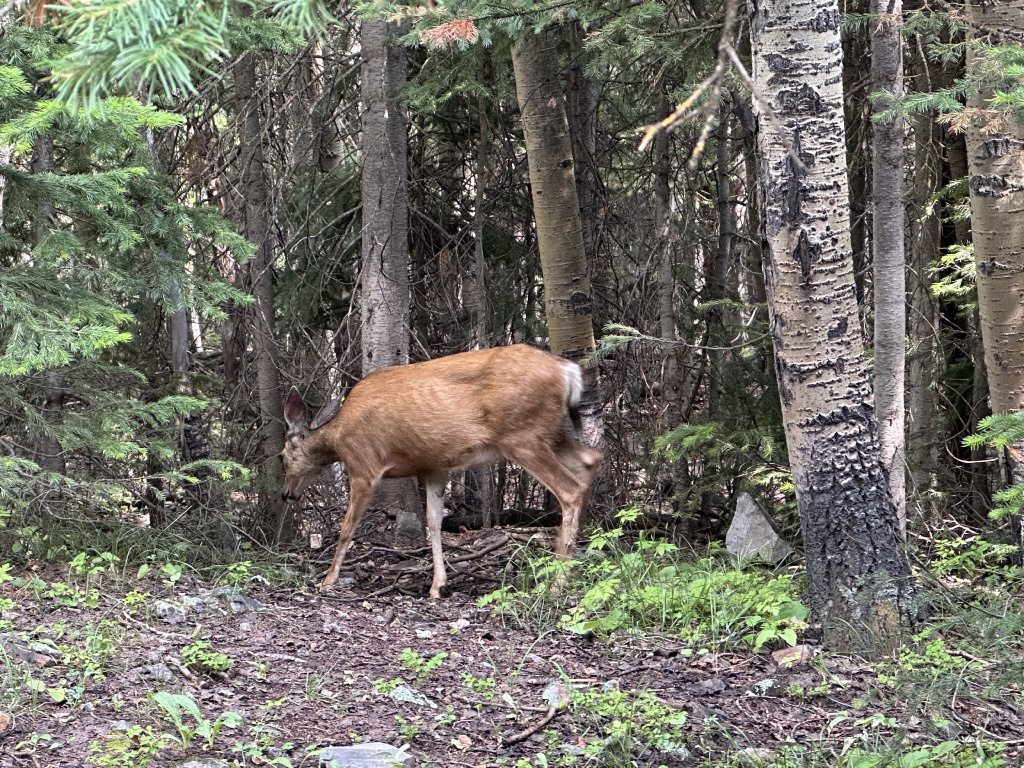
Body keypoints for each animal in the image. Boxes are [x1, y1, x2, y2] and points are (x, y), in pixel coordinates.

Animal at [281, 344, 603, 598]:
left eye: (283, 457)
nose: (286, 494)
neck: (337, 437)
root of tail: (567, 370)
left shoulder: (364, 466)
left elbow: (347, 528)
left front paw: (328, 579)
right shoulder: (435, 468)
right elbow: (434, 523)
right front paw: (438, 585)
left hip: (522, 436)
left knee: (569, 489)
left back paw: (558, 582)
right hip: (549, 432)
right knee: (591, 459)